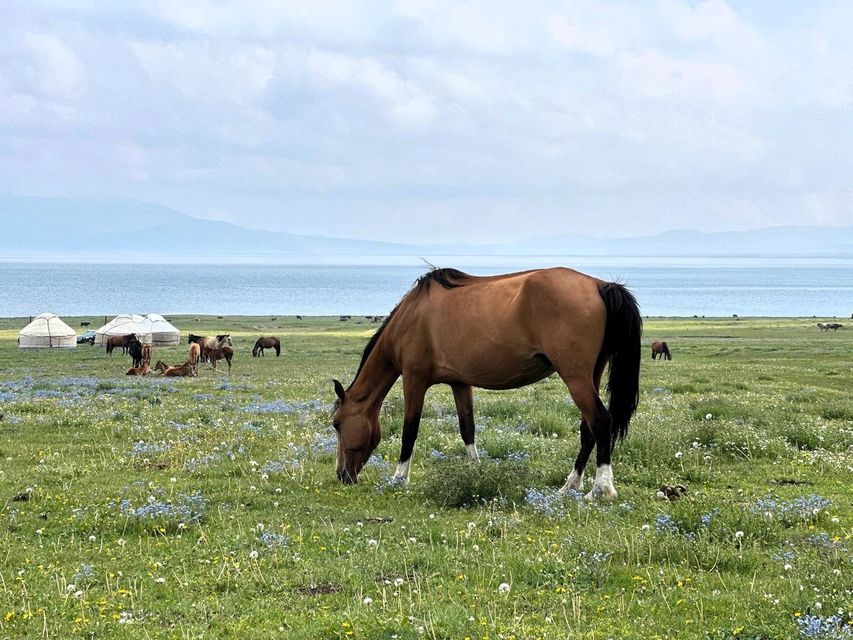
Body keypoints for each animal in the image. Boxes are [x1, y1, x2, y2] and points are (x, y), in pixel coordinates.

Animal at [331, 267, 641, 500]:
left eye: (336, 424)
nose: (342, 475)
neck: (411, 316)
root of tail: (600, 286)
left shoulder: (414, 378)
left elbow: (410, 430)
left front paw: (399, 479)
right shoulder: (459, 383)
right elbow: (467, 428)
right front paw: (475, 472)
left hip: (575, 377)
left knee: (600, 421)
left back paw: (601, 489)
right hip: (590, 375)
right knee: (587, 430)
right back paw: (570, 485)